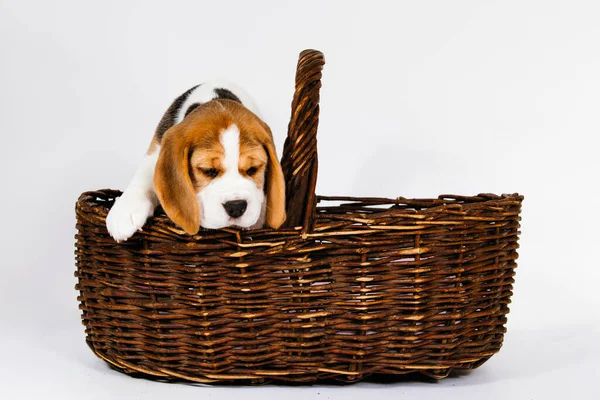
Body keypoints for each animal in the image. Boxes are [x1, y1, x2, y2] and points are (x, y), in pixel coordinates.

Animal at [105, 82, 286, 241]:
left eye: (253, 169)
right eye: (208, 170)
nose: (236, 207)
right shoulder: (156, 150)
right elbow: (144, 176)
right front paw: (124, 211)